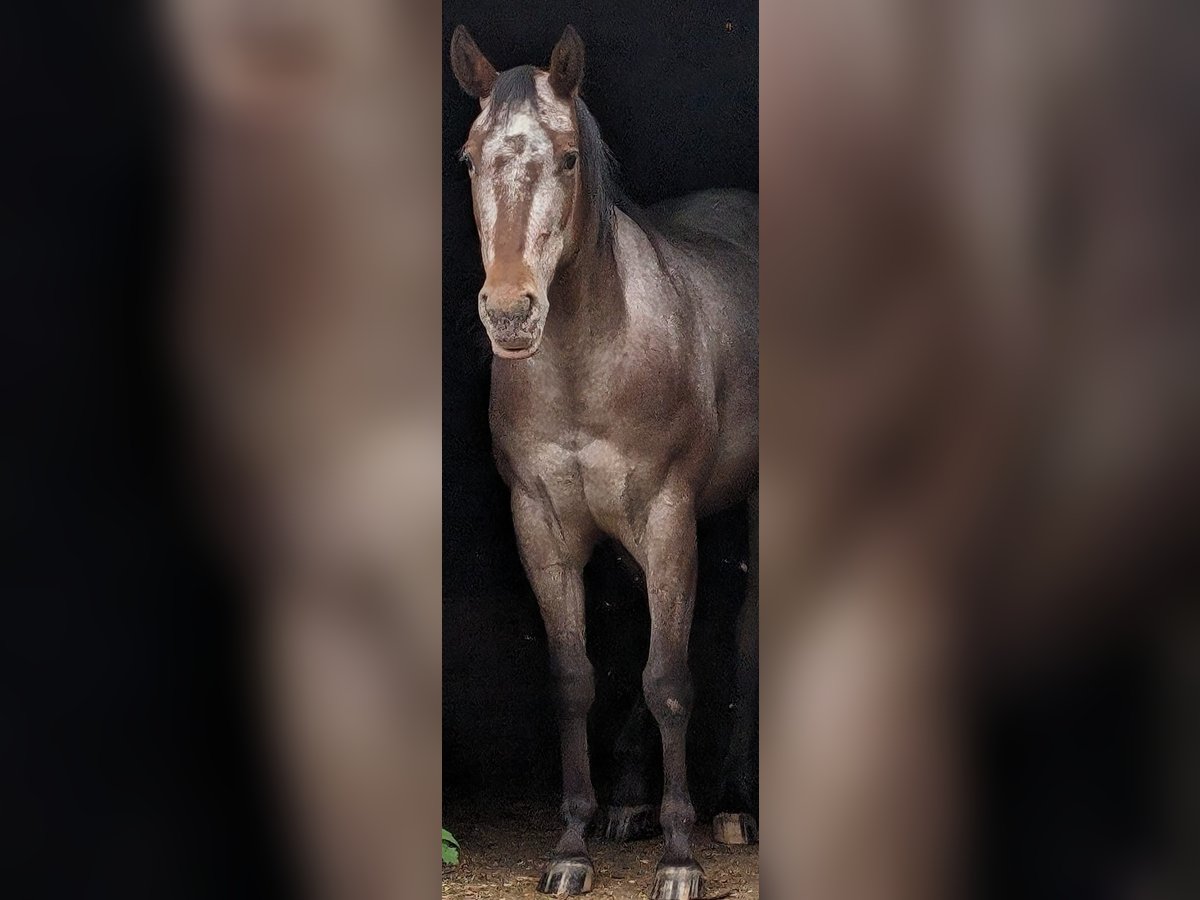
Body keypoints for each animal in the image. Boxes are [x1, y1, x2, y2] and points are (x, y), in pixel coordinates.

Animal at [451, 24, 758, 897]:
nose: (510, 312)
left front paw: (681, 859)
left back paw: (732, 805)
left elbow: (669, 680)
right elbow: (575, 676)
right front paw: (572, 845)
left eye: (566, 158)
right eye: (469, 158)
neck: (586, 364)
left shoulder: (667, 517)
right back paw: (628, 800)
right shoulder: (544, 525)